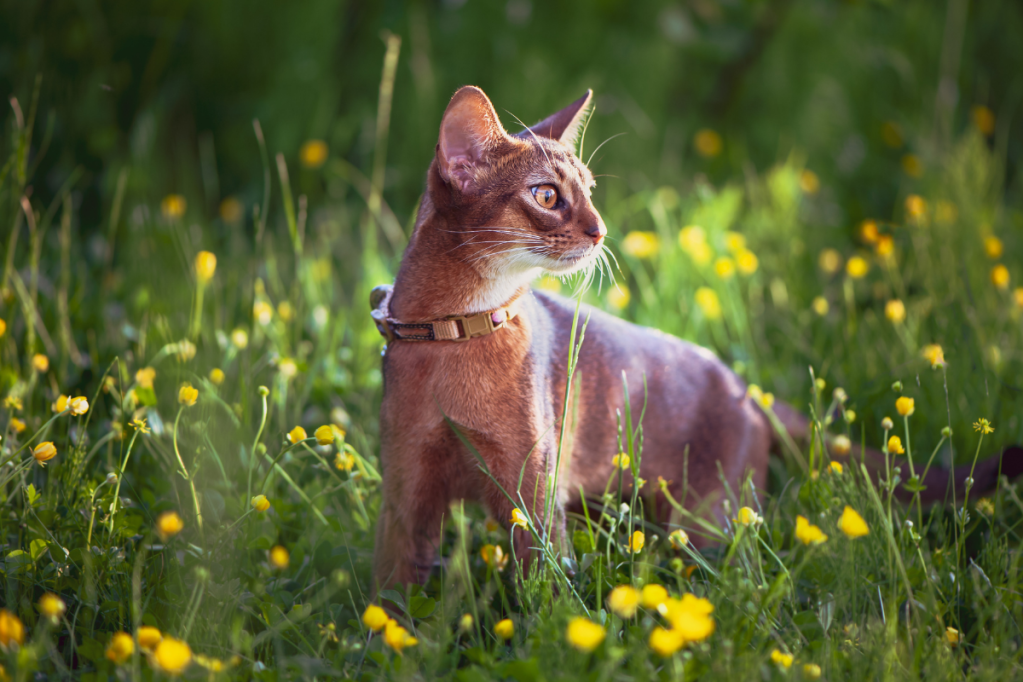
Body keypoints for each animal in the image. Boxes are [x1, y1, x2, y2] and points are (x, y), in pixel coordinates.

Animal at [370, 83, 1023, 588]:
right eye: (547, 196)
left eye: (590, 189)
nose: (600, 230)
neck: (453, 333)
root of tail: (744, 387)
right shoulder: (406, 497)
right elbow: (392, 605)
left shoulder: (531, 499)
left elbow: (544, 599)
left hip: (704, 528)